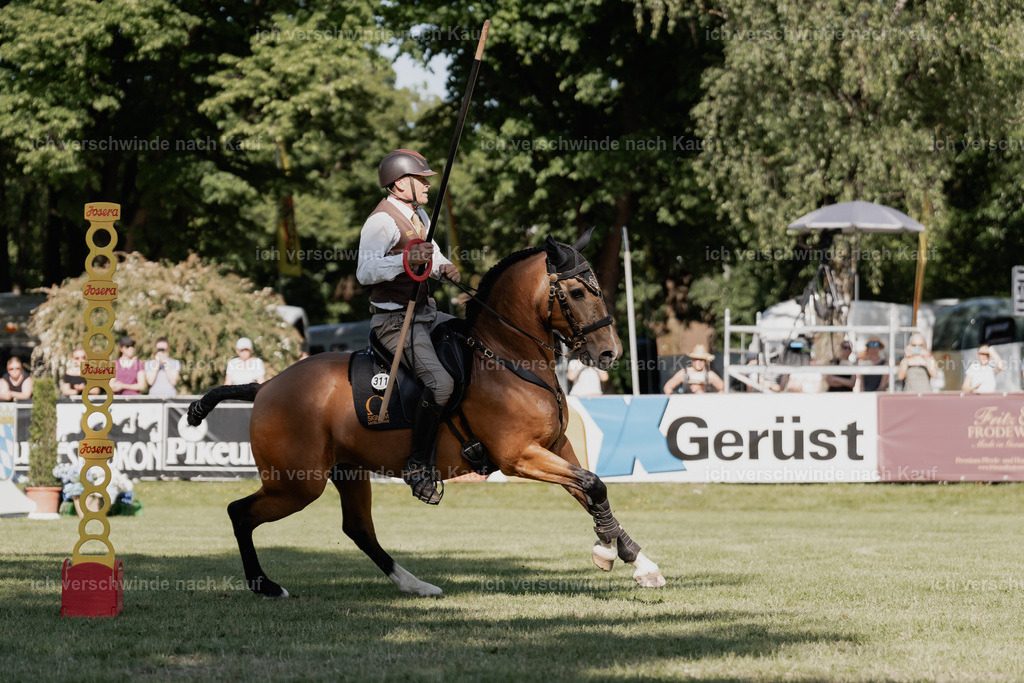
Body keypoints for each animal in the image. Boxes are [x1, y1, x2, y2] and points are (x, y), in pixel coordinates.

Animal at [187, 230, 666, 598]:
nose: (609, 353)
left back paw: (415, 584)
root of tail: (265, 386)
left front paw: (634, 559)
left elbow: (590, 489)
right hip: (296, 483)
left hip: (346, 472)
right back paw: (265, 585)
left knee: (358, 529)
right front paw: (611, 551)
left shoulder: (554, 446)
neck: (507, 355)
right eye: (578, 291)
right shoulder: (520, 456)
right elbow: (593, 484)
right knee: (240, 513)